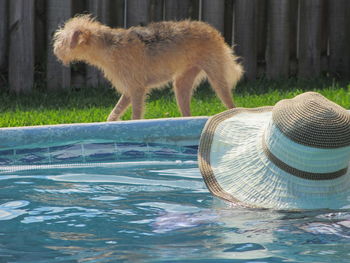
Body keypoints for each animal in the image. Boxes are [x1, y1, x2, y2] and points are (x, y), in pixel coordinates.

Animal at [53, 15, 243, 120]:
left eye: (62, 40)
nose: (55, 49)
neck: (108, 46)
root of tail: (211, 30)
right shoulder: (129, 90)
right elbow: (113, 114)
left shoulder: (137, 90)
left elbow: (135, 116)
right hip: (181, 84)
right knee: (186, 112)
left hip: (217, 79)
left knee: (231, 104)